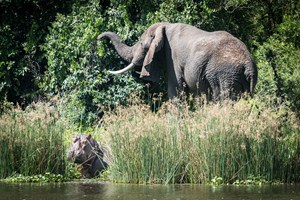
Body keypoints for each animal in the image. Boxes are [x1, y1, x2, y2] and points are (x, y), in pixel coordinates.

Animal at [97, 22, 256, 101]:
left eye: (142, 44)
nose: (98, 38)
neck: (165, 25)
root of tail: (248, 64)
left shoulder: (173, 58)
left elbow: (175, 89)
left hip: (225, 74)